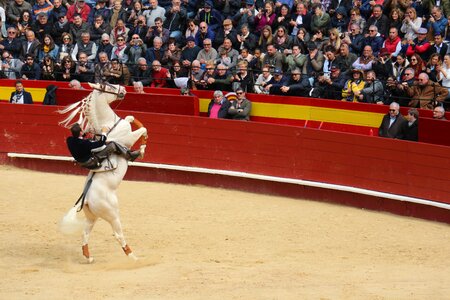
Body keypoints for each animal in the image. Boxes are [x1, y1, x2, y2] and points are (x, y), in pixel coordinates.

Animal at [58, 82, 148, 262]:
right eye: (109, 86)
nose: (123, 89)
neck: (109, 122)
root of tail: (85, 199)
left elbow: (129, 117)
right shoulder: (127, 138)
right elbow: (142, 131)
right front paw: (142, 147)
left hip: (92, 216)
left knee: (85, 233)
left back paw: (89, 257)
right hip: (112, 214)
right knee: (118, 234)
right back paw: (133, 257)